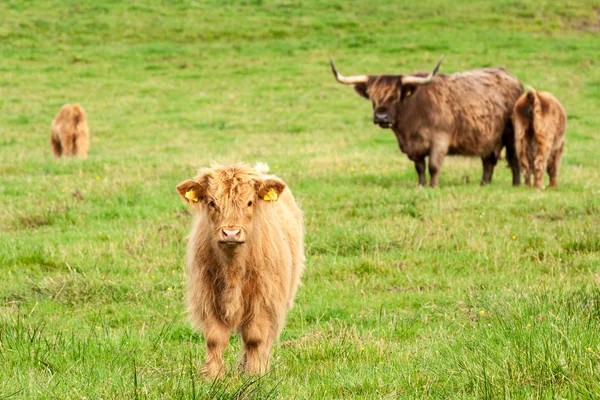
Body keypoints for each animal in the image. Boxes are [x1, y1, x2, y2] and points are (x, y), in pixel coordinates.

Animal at [176, 162, 302, 378]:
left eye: (250, 202)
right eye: (212, 203)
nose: (231, 233)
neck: (233, 268)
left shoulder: (264, 299)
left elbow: (255, 337)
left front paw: (254, 372)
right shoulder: (207, 296)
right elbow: (215, 338)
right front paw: (214, 375)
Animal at [330, 55, 524, 188]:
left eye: (395, 96)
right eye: (372, 97)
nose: (381, 117)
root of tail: (512, 77)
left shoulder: (440, 140)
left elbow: (433, 166)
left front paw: (434, 186)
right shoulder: (413, 147)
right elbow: (420, 167)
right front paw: (422, 185)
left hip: (511, 135)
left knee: (514, 159)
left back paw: (516, 184)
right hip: (487, 138)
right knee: (488, 161)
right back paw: (484, 184)